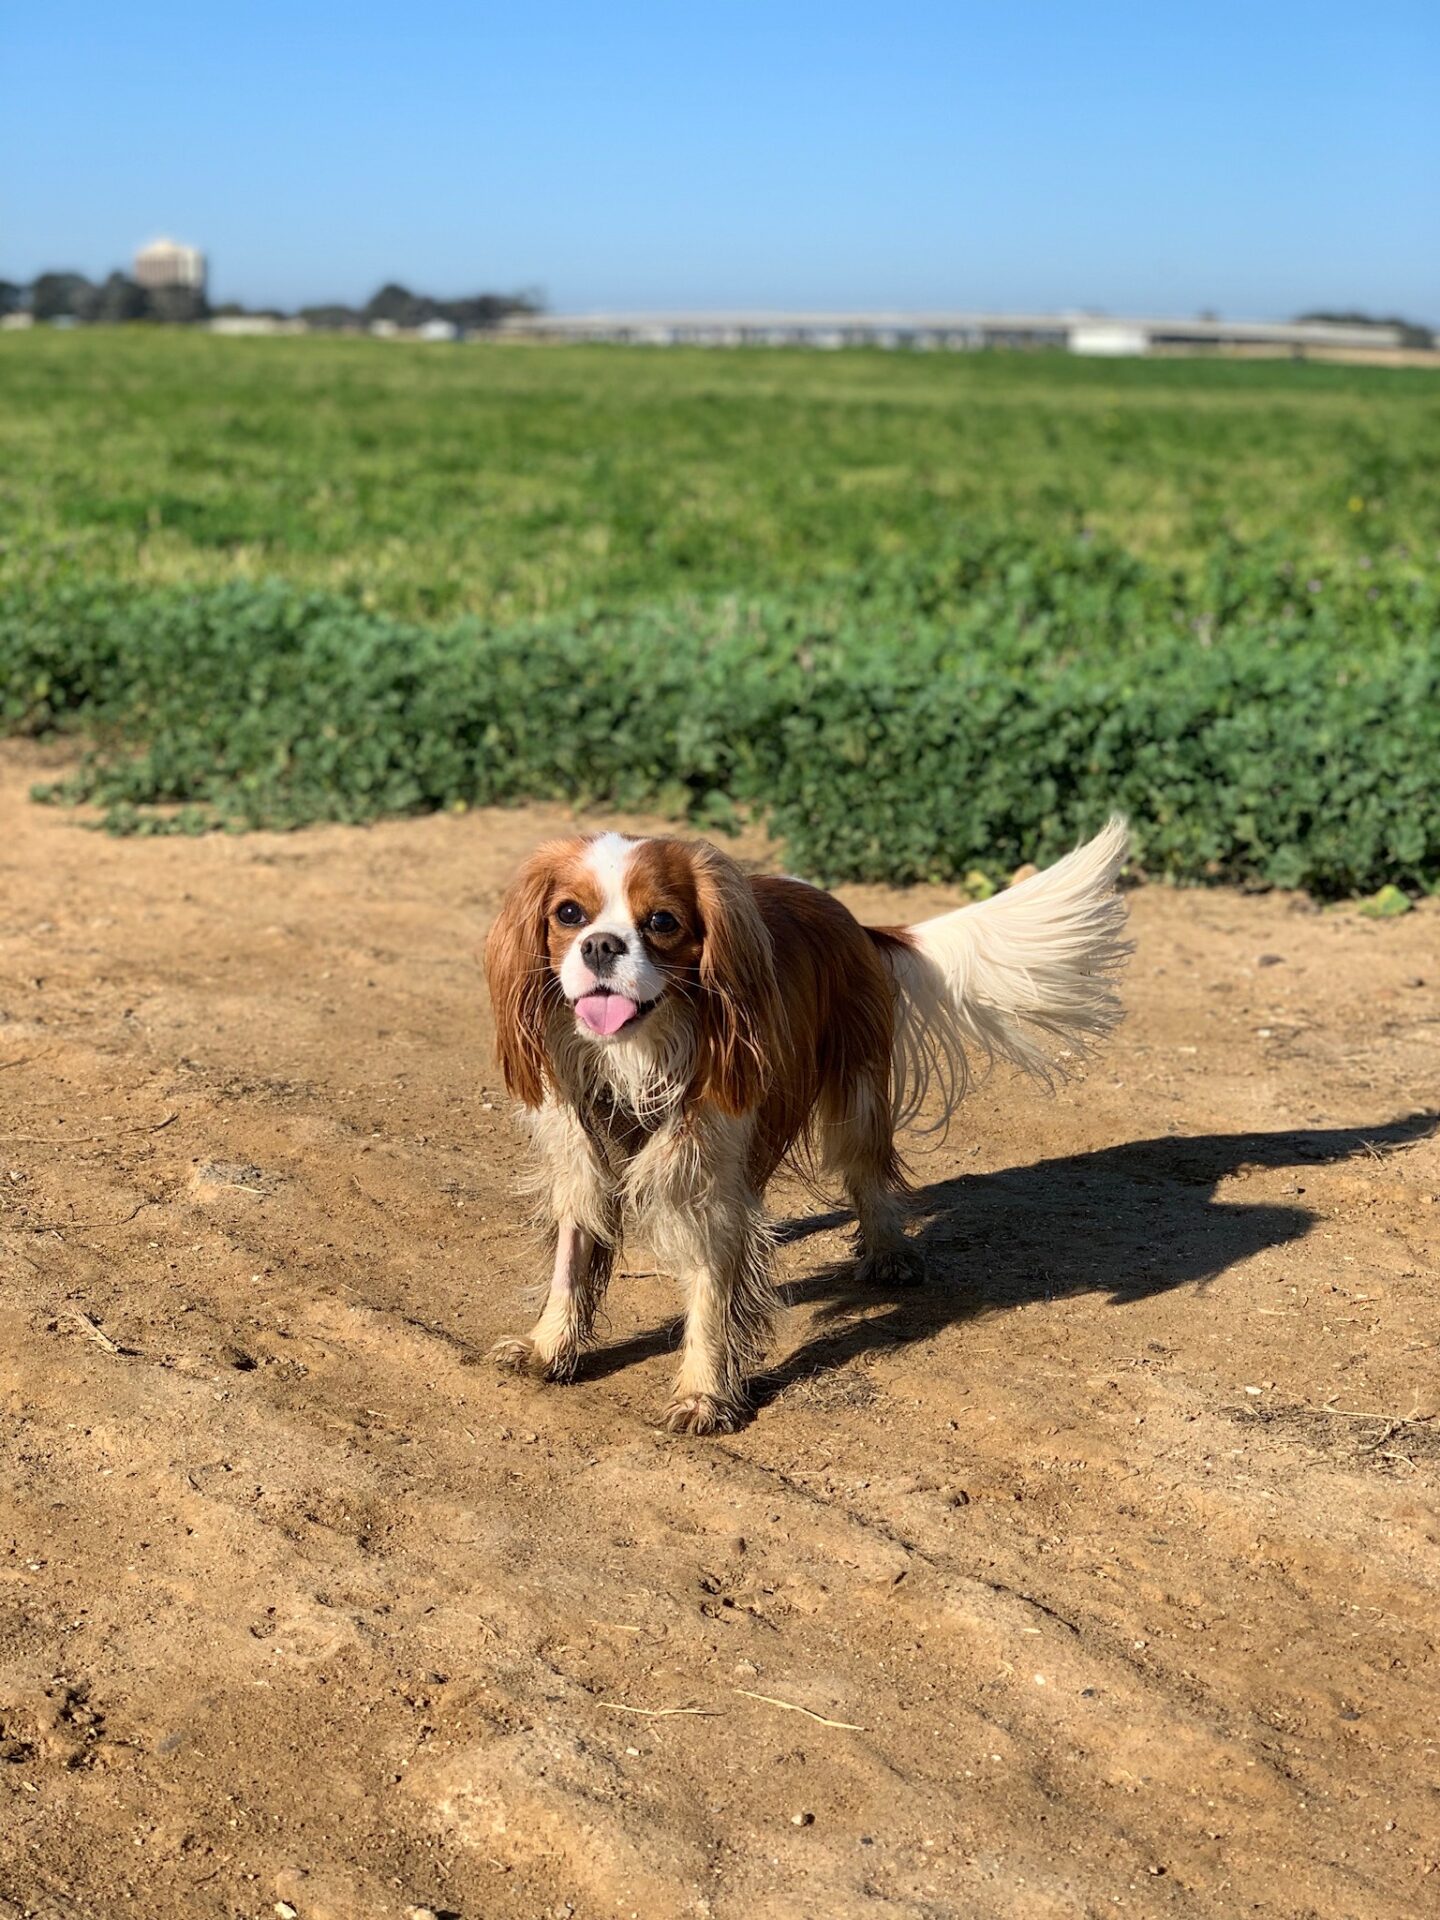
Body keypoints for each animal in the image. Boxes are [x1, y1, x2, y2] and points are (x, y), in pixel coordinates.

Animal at [491, 817, 1136, 1436]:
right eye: (568, 914)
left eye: (662, 921)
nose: (600, 945)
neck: (636, 1057)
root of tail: (850, 915)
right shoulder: (581, 1162)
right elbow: (571, 1262)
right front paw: (550, 1348)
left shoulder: (712, 1187)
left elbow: (711, 1292)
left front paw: (704, 1394)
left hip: (858, 1099)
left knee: (869, 1178)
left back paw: (888, 1254)